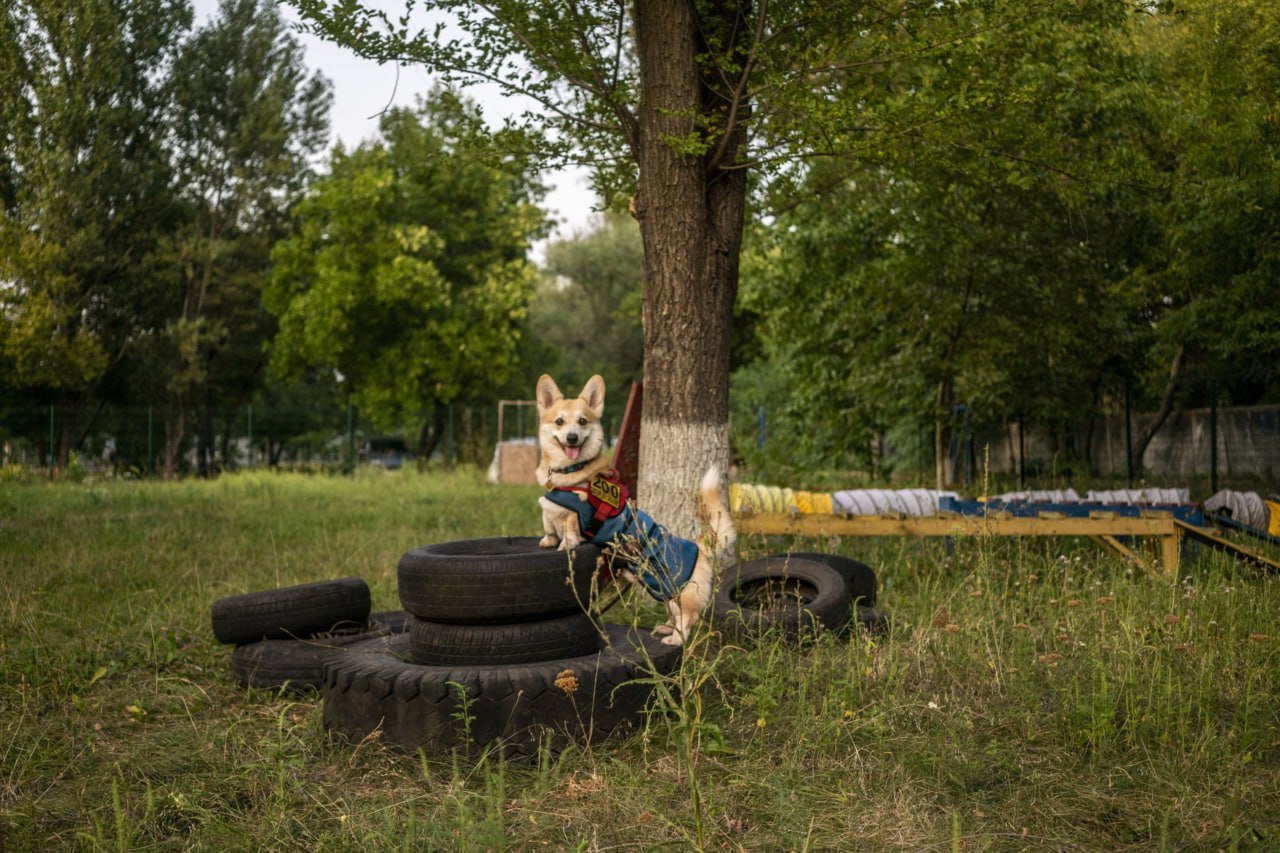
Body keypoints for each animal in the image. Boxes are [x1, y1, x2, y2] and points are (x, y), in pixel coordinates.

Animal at [534, 374, 735, 646]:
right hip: (661, 589)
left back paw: (676, 639)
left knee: (688, 617)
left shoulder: (576, 516)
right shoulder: (550, 507)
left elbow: (568, 532)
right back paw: (667, 628)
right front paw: (548, 540)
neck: (568, 471)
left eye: (583, 421)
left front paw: (563, 546)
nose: (572, 437)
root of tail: (701, 545)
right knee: (675, 614)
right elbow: (548, 522)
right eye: (559, 421)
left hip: (674, 587)